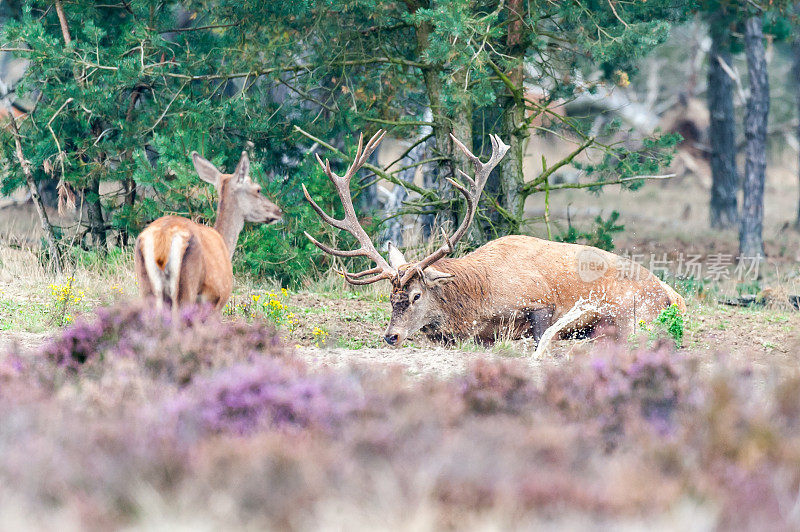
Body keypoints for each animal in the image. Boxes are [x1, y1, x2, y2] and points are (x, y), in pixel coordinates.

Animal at [138, 150, 284, 316]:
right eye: (258, 189)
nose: (278, 210)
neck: (225, 245)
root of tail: (164, 236)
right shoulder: (217, 299)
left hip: (145, 285)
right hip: (187, 287)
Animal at [304, 130, 684, 348]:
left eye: (415, 296)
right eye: (389, 297)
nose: (391, 336)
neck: (476, 302)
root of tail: (672, 295)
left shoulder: (539, 299)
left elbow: (538, 332)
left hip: (633, 313)